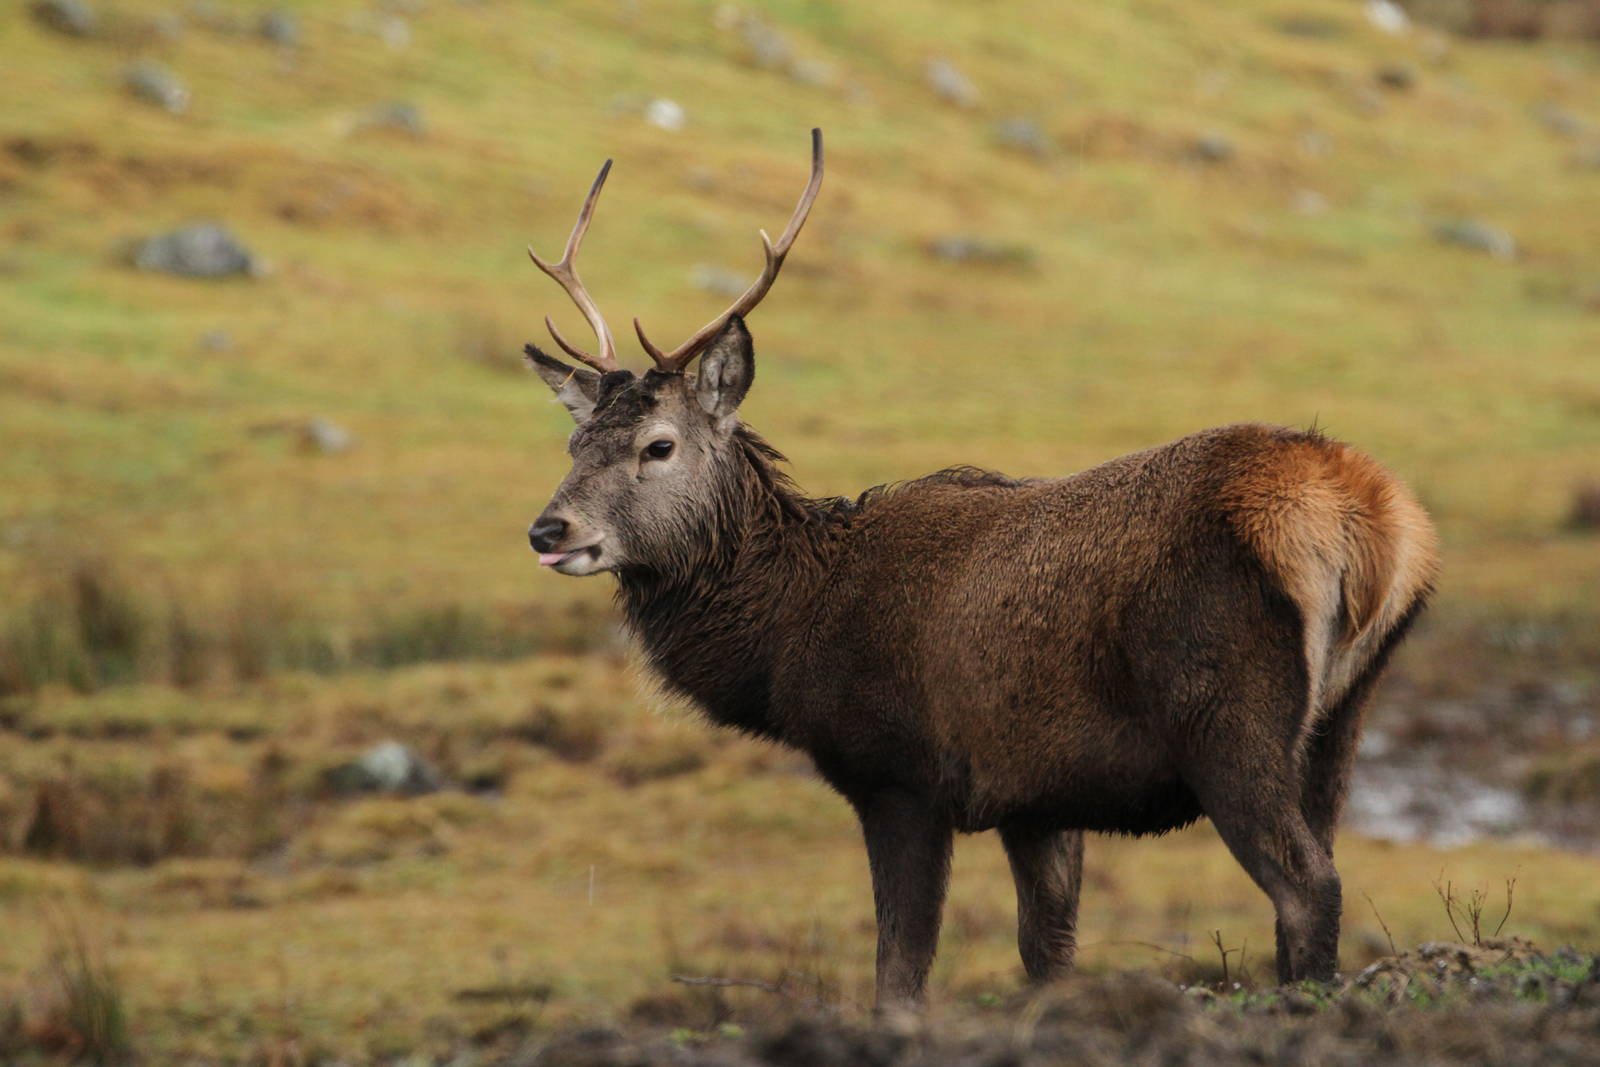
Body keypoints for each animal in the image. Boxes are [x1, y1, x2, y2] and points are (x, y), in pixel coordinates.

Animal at [520, 129, 1440, 1010]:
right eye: (573, 441)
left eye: (658, 445)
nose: (547, 528)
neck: (791, 630)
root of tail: (1374, 521)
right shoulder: (1039, 794)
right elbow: (1047, 953)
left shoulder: (901, 774)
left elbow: (900, 971)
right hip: (1341, 718)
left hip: (1226, 714)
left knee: (1307, 887)